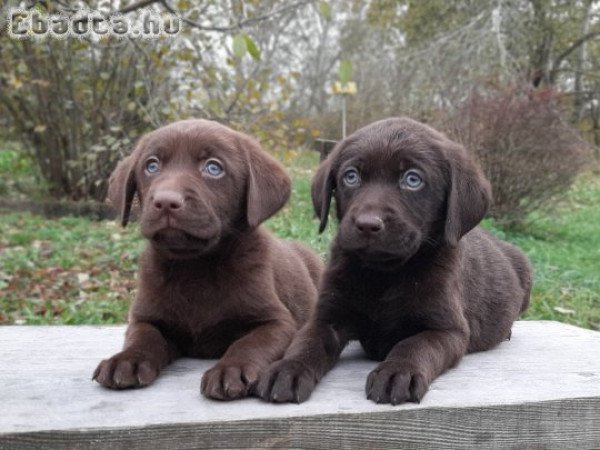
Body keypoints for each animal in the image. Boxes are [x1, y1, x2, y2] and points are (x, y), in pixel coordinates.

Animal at [91, 119, 322, 400]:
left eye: (213, 167)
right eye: (151, 165)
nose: (165, 201)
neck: (194, 267)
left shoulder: (277, 322)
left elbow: (249, 343)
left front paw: (231, 370)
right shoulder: (146, 317)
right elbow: (143, 336)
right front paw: (125, 360)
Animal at [255, 118, 532, 406]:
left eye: (412, 179)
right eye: (351, 176)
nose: (367, 224)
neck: (384, 273)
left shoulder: (447, 330)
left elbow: (414, 345)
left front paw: (397, 372)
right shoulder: (327, 316)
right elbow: (306, 342)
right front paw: (288, 369)